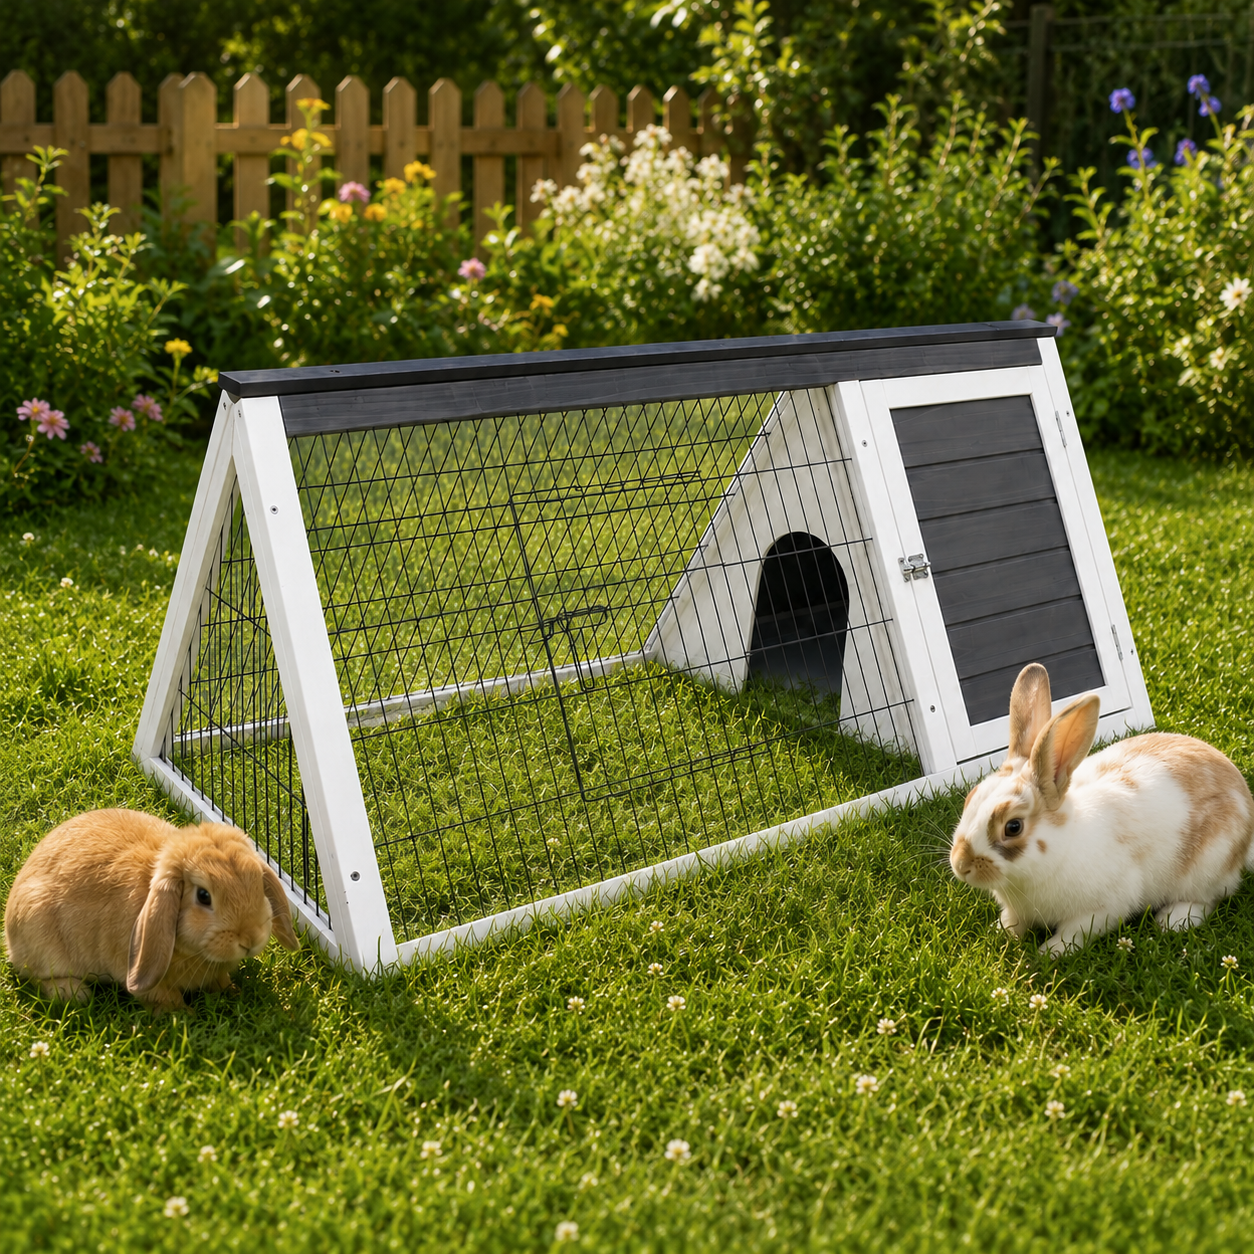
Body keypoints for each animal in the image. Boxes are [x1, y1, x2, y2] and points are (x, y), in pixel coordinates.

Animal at [4, 809, 299, 1011]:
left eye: (258, 884)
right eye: (204, 896)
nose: (250, 939)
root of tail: (9, 937)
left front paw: (232, 991)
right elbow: (166, 998)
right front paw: (185, 1015)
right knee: (37, 976)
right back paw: (74, 993)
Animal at [949, 662, 1254, 956]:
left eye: (1013, 827)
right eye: (970, 798)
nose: (961, 865)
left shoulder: (1101, 908)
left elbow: (1075, 932)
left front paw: (1051, 952)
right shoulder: (1018, 910)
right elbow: (1013, 921)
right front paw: (999, 932)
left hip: (1208, 865)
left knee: (1209, 898)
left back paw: (1173, 919)